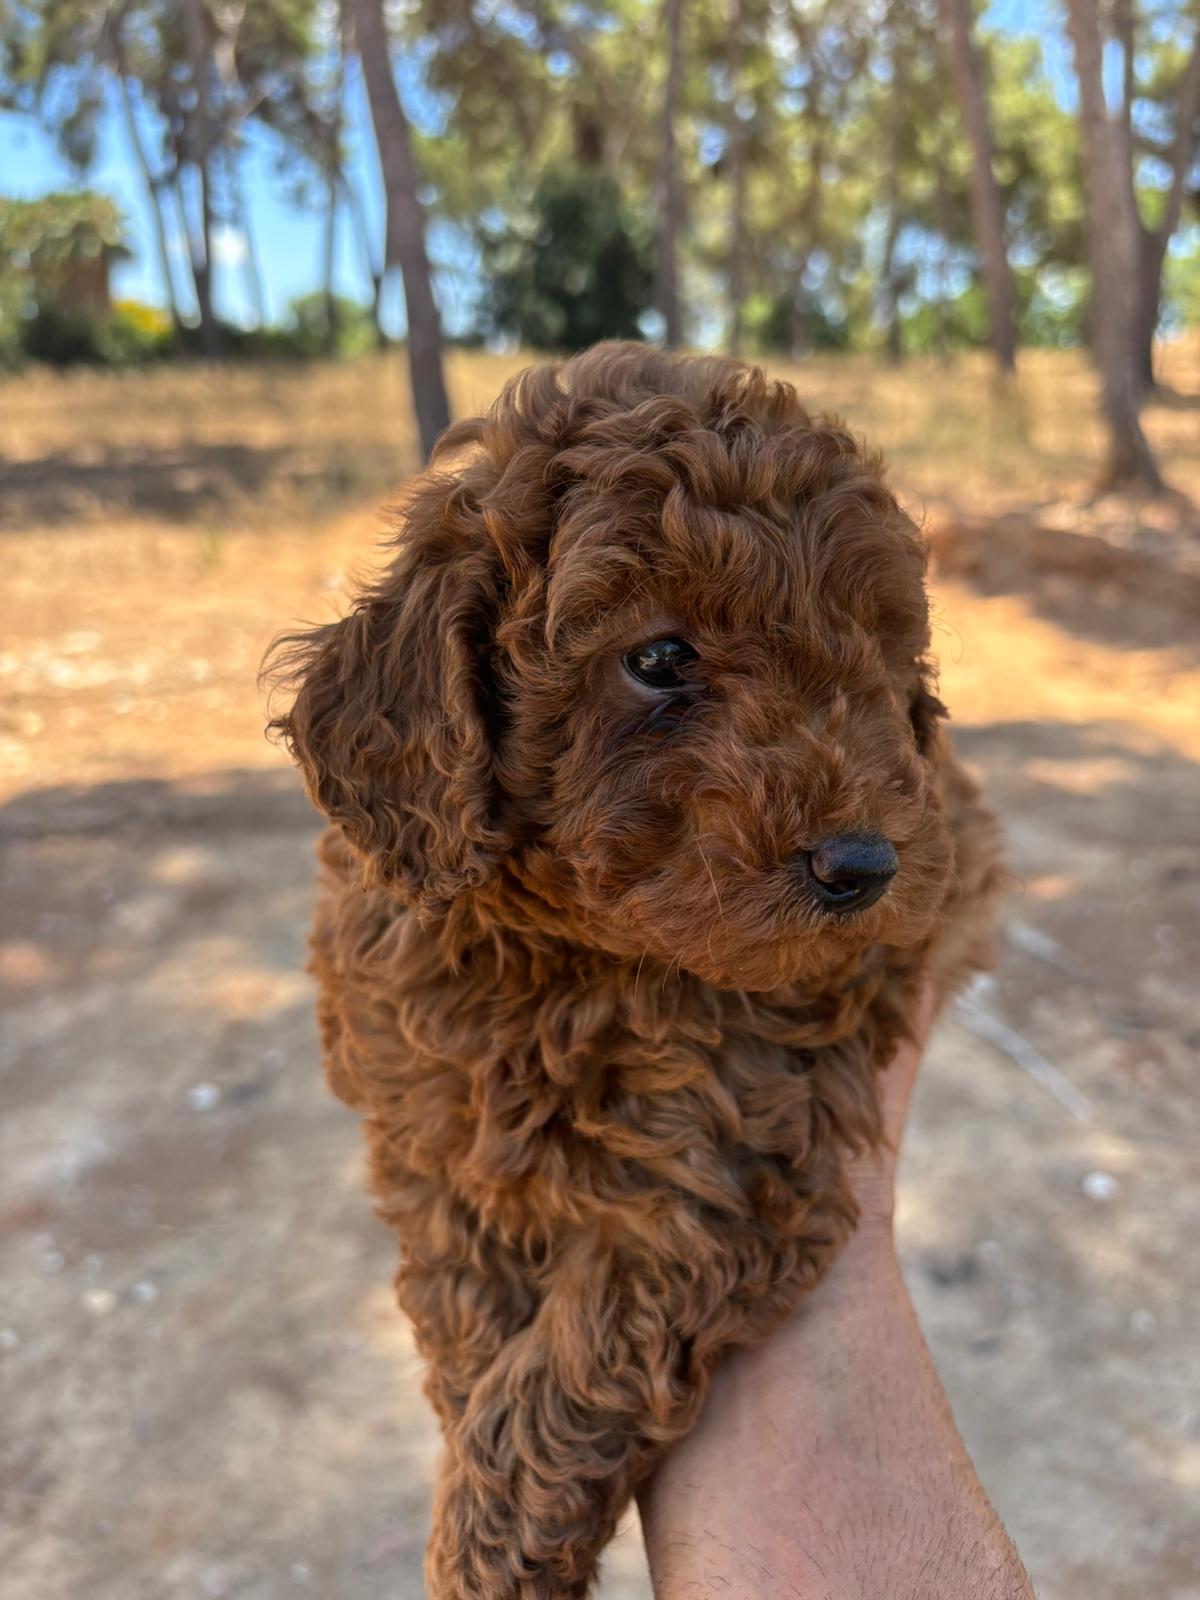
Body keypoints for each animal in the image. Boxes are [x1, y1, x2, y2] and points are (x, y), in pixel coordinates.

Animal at [272, 347, 1004, 1600]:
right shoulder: (416, 1116)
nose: (865, 864)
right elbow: (463, 1289)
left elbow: (573, 1358)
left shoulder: (727, 1163)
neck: (567, 952)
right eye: (659, 659)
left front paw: (490, 1549)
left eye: (882, 658)